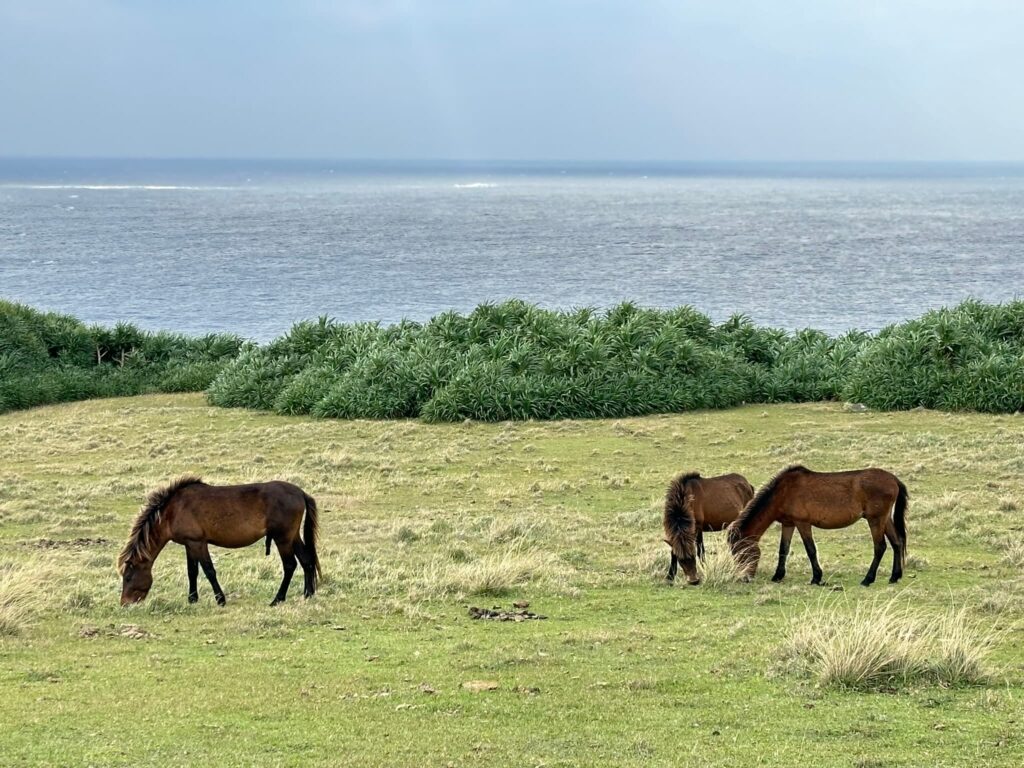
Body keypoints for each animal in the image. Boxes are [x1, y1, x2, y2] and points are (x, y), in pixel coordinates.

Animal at [117, 475, 321, 606]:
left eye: (128, 577)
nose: (125, 603)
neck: (172, 511)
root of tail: (301, 493)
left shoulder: (198, 543)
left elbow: (209, 571)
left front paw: (220, 599)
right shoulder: (189, 544)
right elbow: (192, 572)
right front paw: (192, 599)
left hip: (283, 538)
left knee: (290, 565)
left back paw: (277, 599)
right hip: (292, 537)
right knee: (306, 561)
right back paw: (308, 594)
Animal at [724, 466, 909, 585]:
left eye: (741, 552)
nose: (745, 578)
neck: (783, 492)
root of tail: (893, 479)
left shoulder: (803, 523)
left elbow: (810, 550)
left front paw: (816, 578)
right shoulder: (788, 524)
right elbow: (783, 549)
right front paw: (778, 576)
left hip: (875, 520)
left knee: (880, 547)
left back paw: (868, 579)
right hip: (885, 519)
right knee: (897, 543)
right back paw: (894, 577)